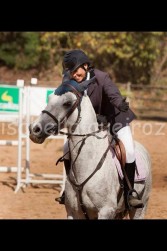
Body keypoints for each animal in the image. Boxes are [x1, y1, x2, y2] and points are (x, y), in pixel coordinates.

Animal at [28, 83, 151, 220]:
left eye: (67, 103)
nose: (35, 129)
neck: (88, 162)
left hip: (140, 207)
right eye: (49, 99)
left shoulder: (106, 211)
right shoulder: (73, 213)